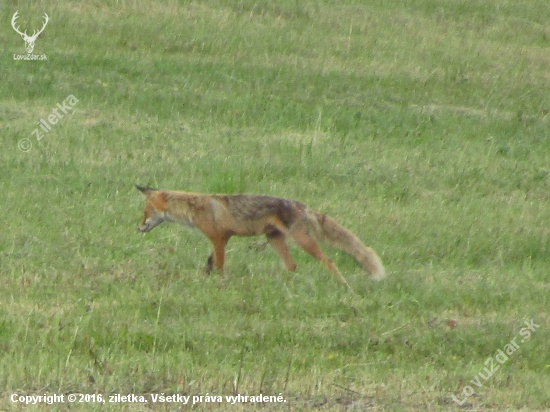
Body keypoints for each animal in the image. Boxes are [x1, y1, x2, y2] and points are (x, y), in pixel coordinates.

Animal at [137, 185, 388, 288]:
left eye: (145, 212)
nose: (139, 228)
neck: (196, 207)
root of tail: (302, 205)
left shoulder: (219, 238)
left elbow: (219, 266)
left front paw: (219, 283)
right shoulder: (219, 240)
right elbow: (209, 264)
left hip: (302, 241)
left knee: (328, 260)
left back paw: (342, 284)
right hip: (275, 239)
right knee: (292, 265)